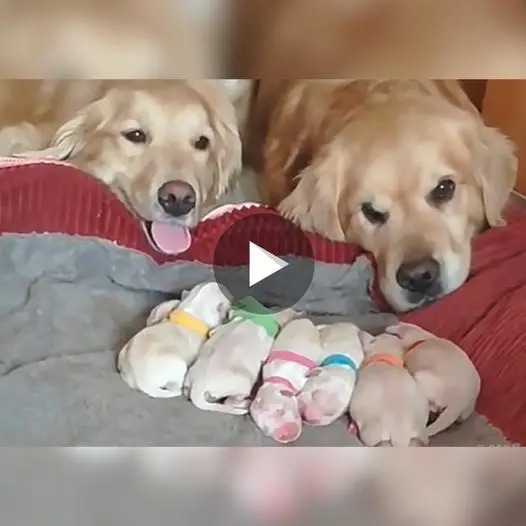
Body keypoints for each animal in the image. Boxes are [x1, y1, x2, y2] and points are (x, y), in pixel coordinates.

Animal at [250, 318, 324, 446]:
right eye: (265, 429)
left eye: (280, 411)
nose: (284, 435)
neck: (277, 378)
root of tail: (304, 319)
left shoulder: (300, 377)